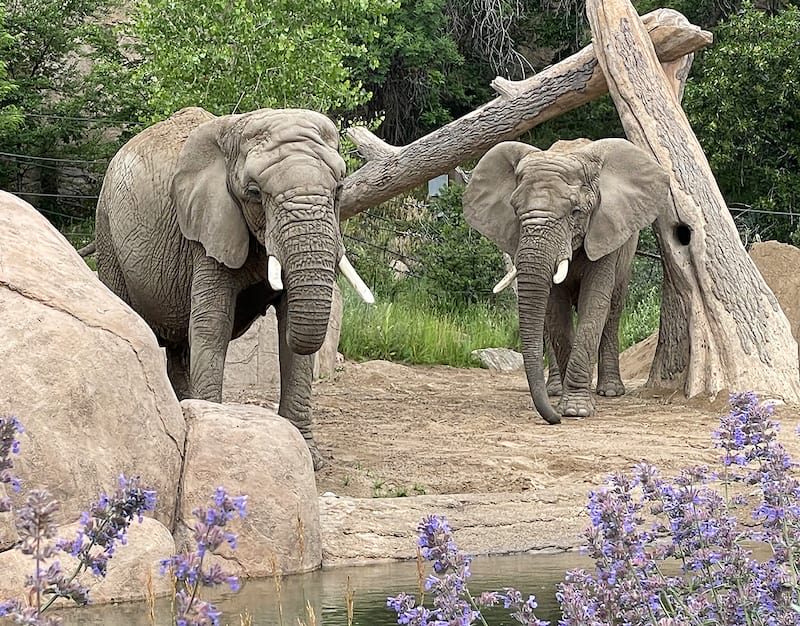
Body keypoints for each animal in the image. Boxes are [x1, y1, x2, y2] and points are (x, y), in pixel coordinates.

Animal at [95, 106, 374, 469]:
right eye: (254, 193)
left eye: (339, 189)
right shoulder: (206, 230)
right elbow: (213, 325)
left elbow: (290, 328)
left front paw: (310, 457)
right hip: (107, 230)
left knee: (180, 349)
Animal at [463, 138, 671, 424]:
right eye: (515, 210)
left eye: (575, 212)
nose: (554, 419)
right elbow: (556, 312)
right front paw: (567, 405)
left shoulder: (604, 231)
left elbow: (594, 304)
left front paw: (575, 410)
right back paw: (554, 390)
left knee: (613, 311)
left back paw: (610, 391)